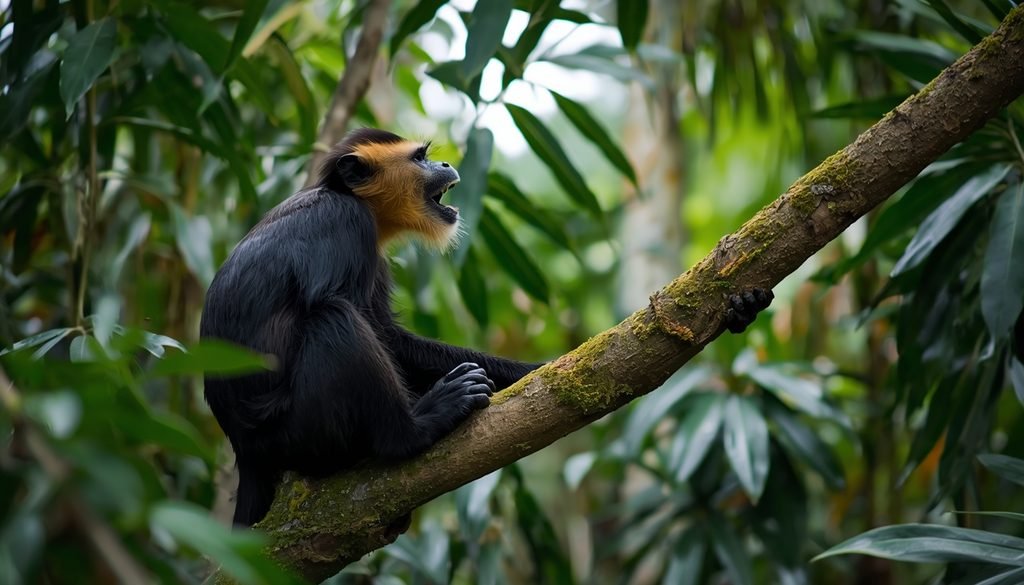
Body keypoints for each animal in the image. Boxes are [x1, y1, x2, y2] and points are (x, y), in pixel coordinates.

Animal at [200, 128, 772, 527]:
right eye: (420, 157)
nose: (446, 161)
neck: (350, 198)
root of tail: (247, 450)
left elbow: (391, 337)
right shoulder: (346, 224)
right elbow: (351, 315)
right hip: (300, 429)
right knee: (333, 318)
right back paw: (412, 431)